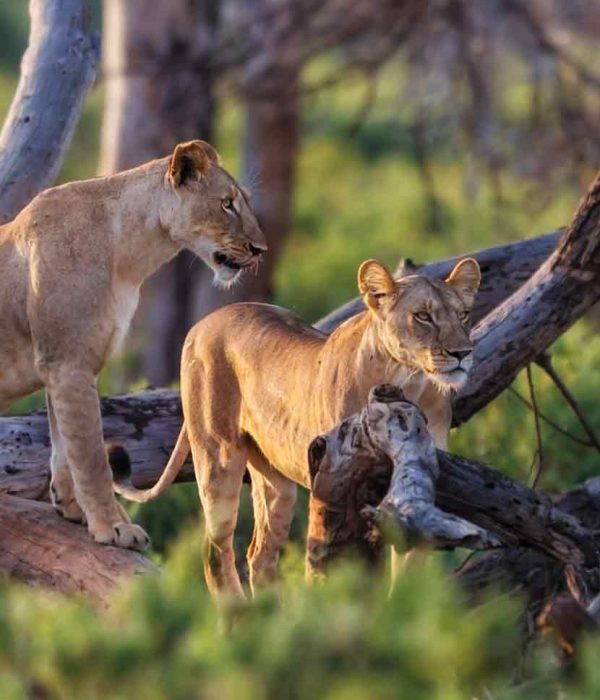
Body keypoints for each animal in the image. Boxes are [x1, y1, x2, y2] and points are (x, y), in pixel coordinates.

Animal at [0, 139, 266, 551]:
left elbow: (64, 445)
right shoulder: (68, 364)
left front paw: (72, 507)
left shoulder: (63, 364)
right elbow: (91, 454)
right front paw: (114, 527)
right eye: (226, 203)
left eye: (241, 202)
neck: (129, 255)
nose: (260, 249)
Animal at [113, 256, 480, 588]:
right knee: (215, 551)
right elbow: (328, 560)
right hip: (218, 456)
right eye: (423, 316)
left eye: (463, 314)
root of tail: (201, 324)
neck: (409, 380)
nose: (463, 353)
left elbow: (407, 572)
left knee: (259, 554)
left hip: (274, 480)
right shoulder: (333, 479)